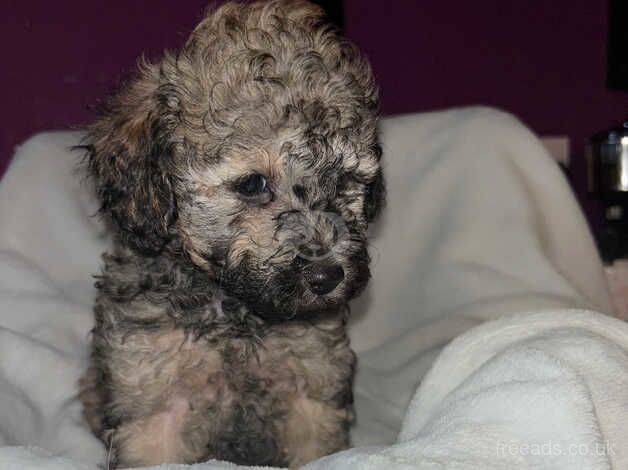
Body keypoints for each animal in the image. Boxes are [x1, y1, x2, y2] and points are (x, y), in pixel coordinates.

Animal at [78, 1, 382, 468]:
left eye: (345, 180)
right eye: (253, 184)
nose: (326, 277)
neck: (235, 309)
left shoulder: (312, 387)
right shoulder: (154, 393)